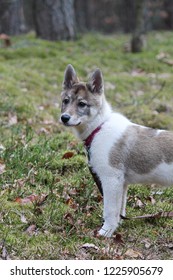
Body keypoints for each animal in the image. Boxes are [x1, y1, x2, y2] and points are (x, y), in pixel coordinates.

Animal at [59, 64, 173, 237]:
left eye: (82, 104)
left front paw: (105, 232)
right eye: (66, 101)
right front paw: (116, 227)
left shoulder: (111, 179)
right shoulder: (121, 183)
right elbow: (120, 209)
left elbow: (110, 210)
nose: (64, 118)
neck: (100, 126)